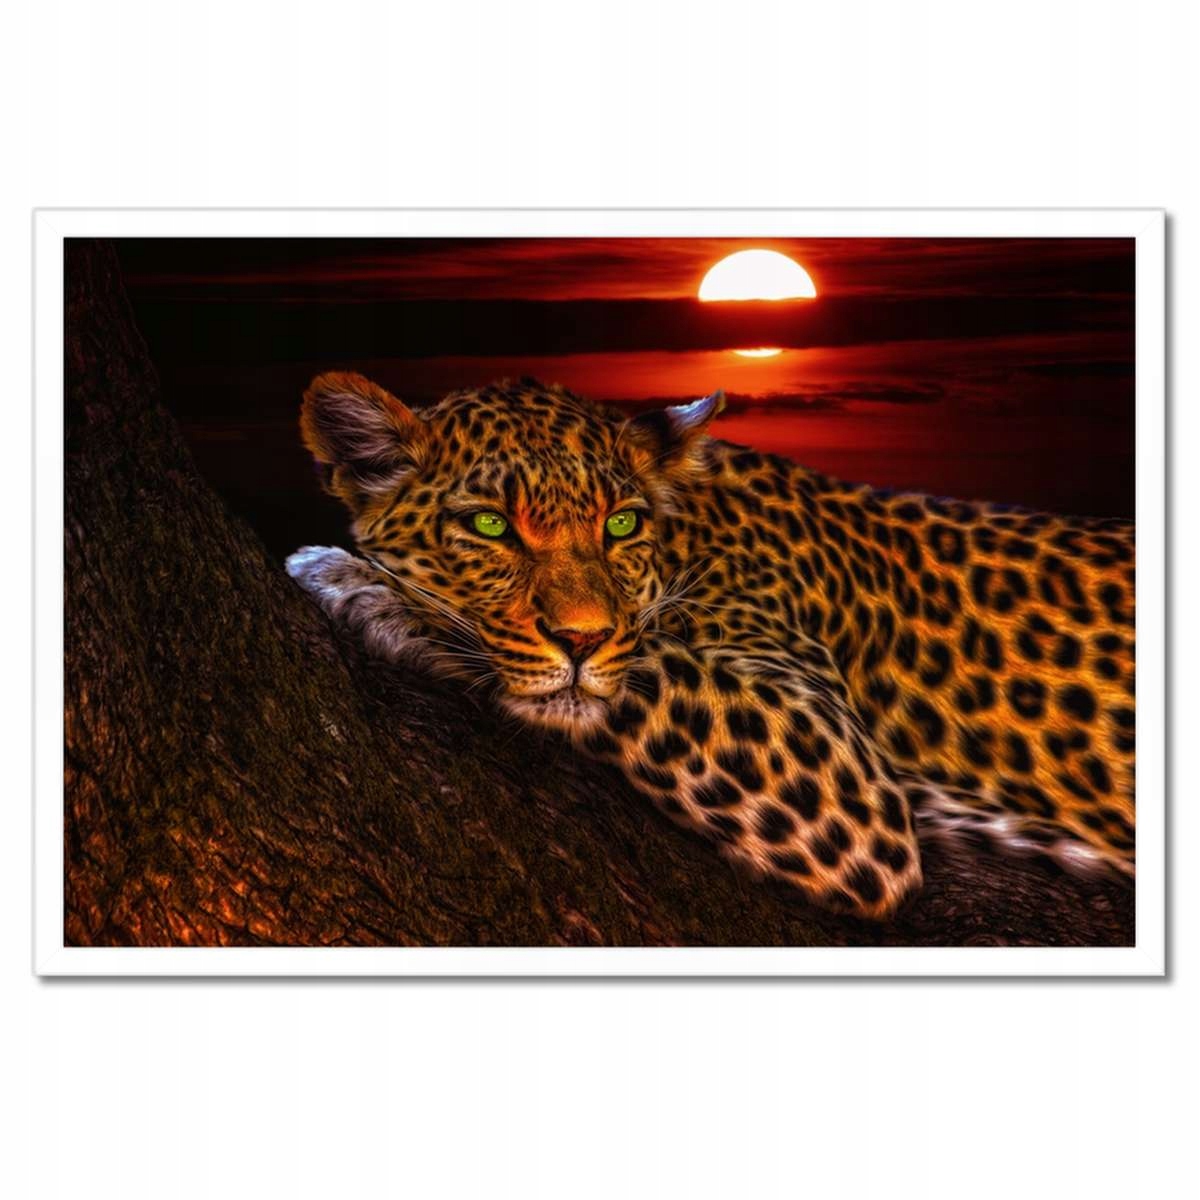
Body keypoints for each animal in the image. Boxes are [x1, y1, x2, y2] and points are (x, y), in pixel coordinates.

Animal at [286, 371, 1135, 920]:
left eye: (620, 523)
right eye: (490, 525)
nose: (581, 638)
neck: (689, 536)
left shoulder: (836, 768)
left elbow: (635, 671)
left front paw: (361, 584)